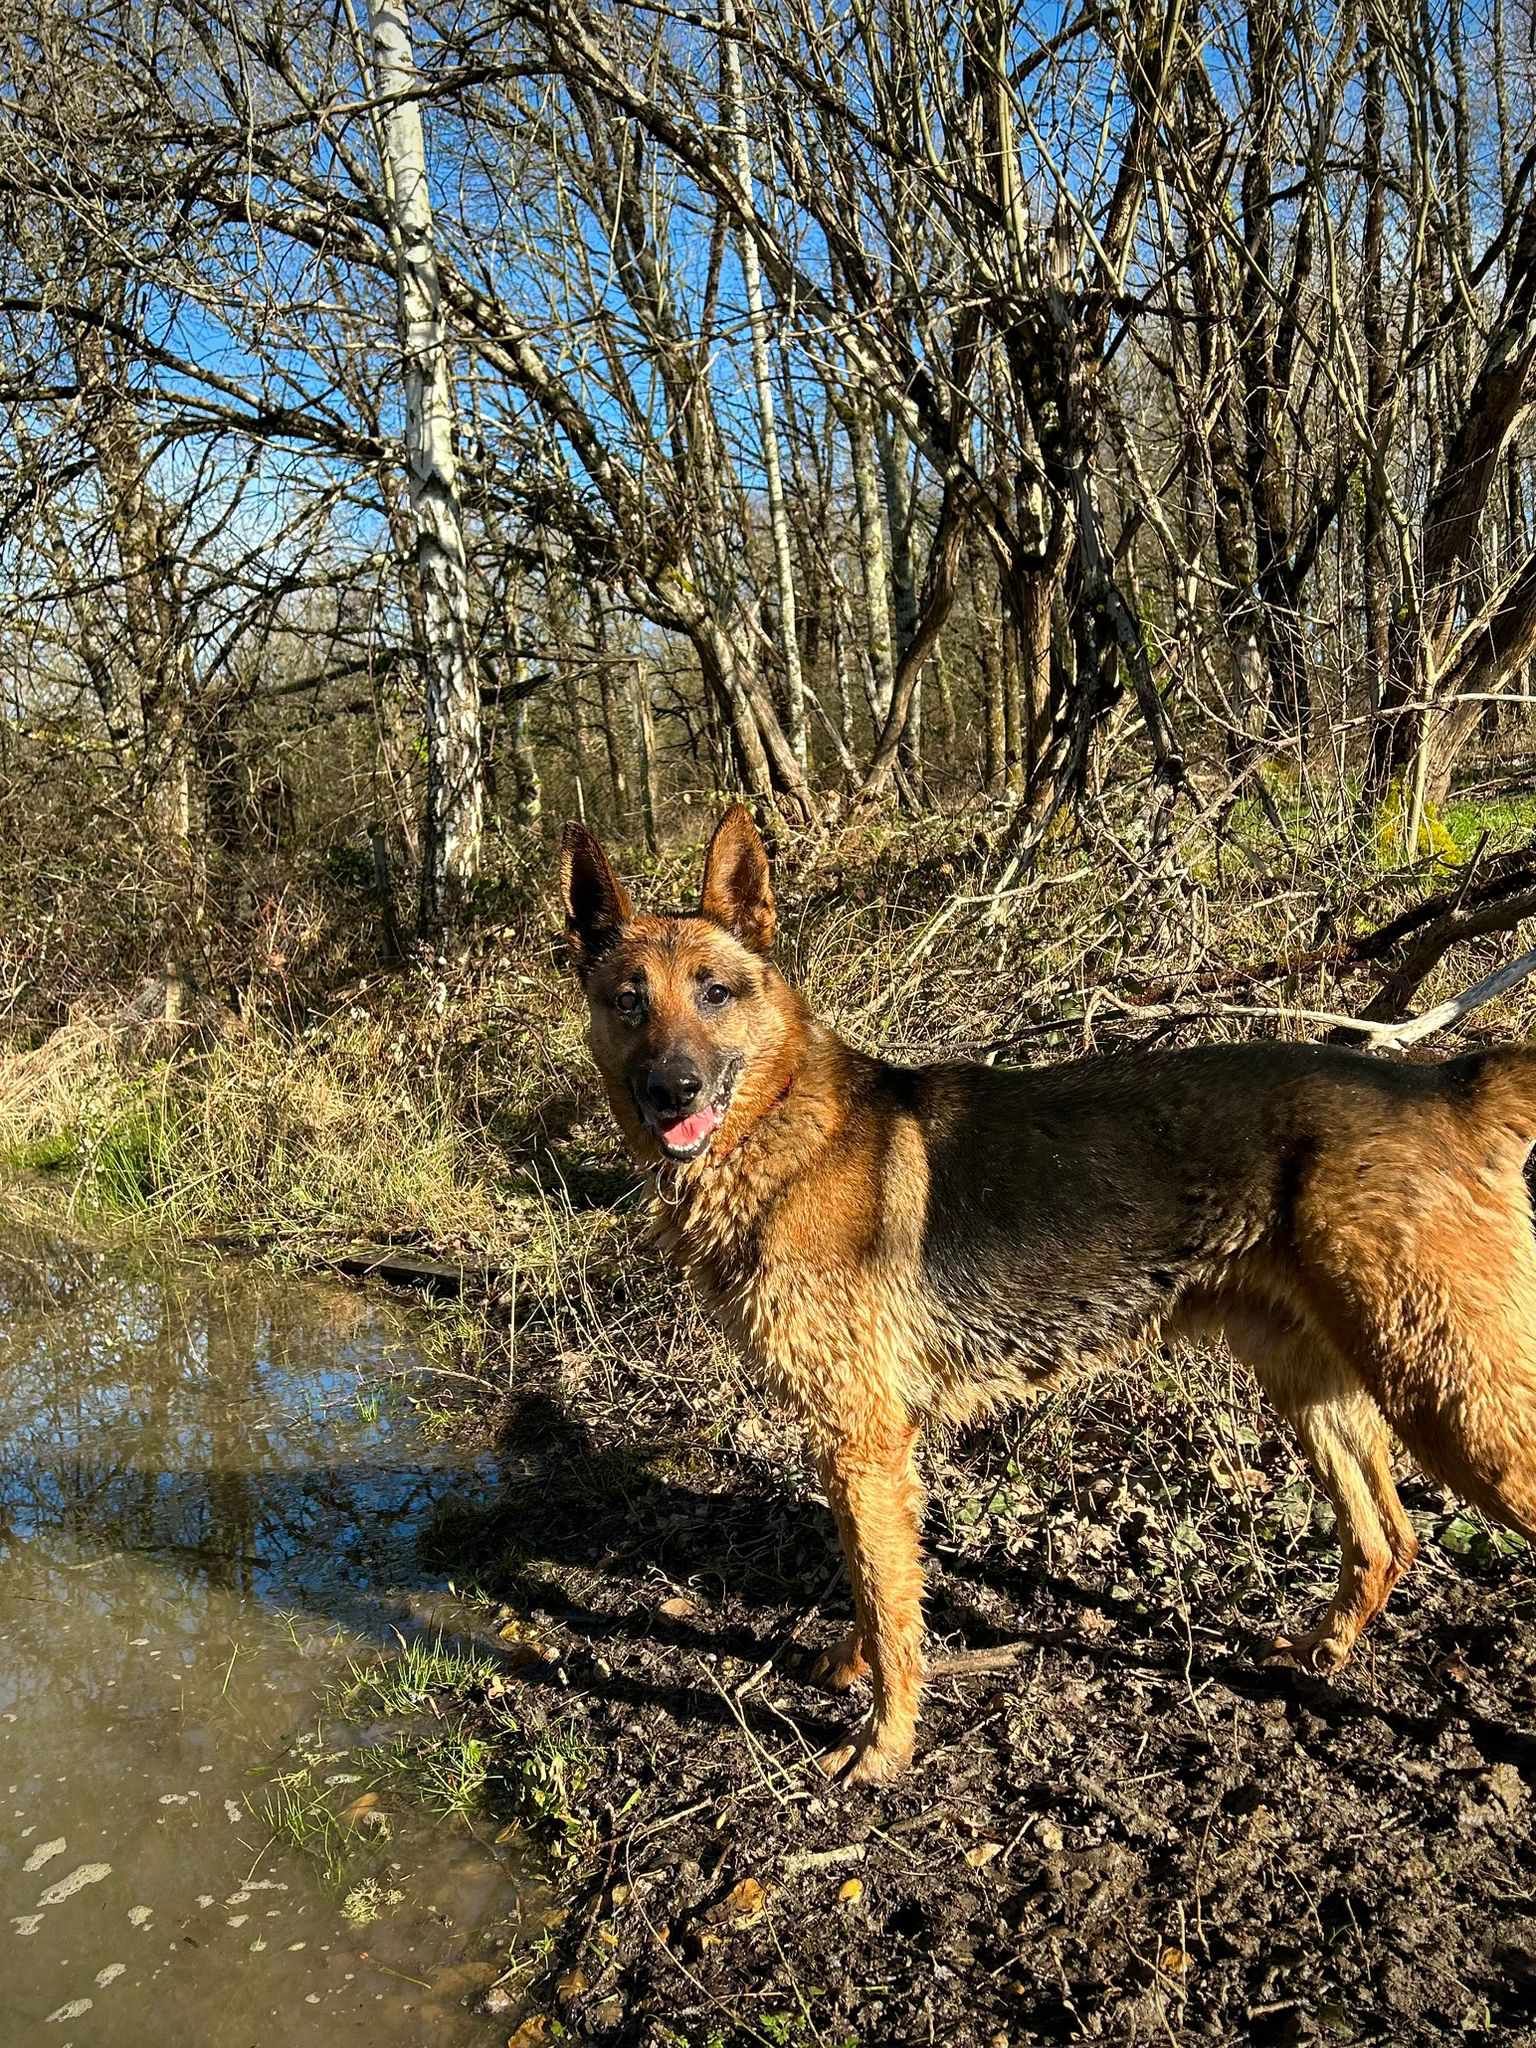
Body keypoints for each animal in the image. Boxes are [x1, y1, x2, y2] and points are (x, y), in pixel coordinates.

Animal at [561, 806, 1536, 1785]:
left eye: (715, 992)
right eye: (629, 1001)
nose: (671, 1090)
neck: (780, 1120)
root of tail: (1448, 1086)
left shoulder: (862, 1438)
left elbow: (886, 1601)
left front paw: (885, 1744)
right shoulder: (860, 1447)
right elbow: (875, 1583)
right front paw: (854, 1671)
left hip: (1455, 1405)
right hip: (1316, 1384)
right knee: (1386, 1539)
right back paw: (1319, 1650)